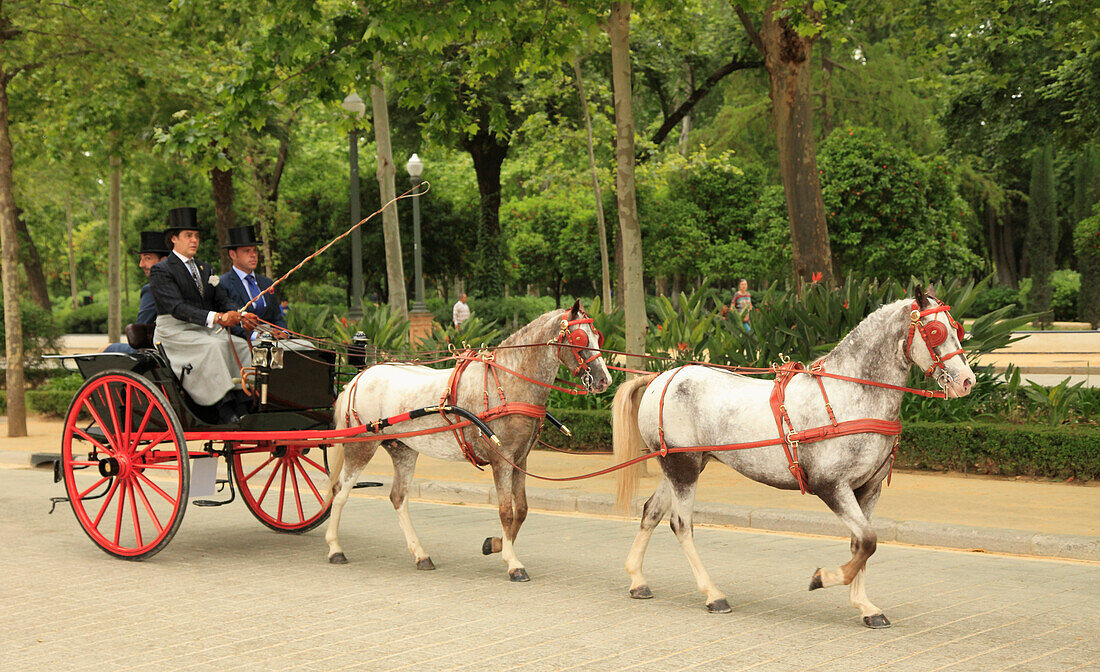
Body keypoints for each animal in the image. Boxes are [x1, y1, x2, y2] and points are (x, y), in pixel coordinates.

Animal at [321, 301, 616, 580]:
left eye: (597, 336)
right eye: (579, 338)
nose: (604, 380)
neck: (508, 380)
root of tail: (360, 376)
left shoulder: (520, 459)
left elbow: (521, 510)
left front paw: (496, 544)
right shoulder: (502, 460)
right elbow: (506, 511)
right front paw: (512, 562)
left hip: (403, 449)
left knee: (398, 497)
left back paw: (420, 555)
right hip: (362, 446)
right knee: (340, 491)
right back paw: (335, 548)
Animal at [616, 285, 976, 629]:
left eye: (958, 328)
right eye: (935, 331)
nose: (967, 381)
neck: (851, 395)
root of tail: (663, 377)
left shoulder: (868, 490)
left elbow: (861, 543)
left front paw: (866, 607)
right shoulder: (831, 486)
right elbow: (868, 541)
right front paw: (824, 578)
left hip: (678, 465)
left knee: (651, 512)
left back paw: (637, 579)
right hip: (684, 468)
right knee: (681, 524)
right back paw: (713, 595)